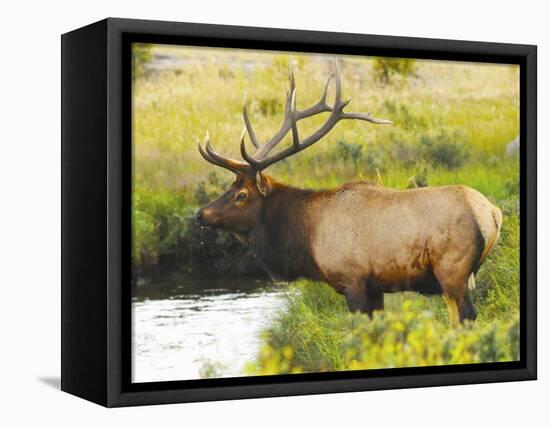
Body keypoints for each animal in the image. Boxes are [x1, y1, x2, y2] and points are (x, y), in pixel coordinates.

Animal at [196, 61, 502, 324]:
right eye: (230, 187)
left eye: (242, 195)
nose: (200, 214)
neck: (306, 236)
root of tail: (493, 213)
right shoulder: (376, 287)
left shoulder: (352, 279)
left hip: (452, 268)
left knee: (466, 315)